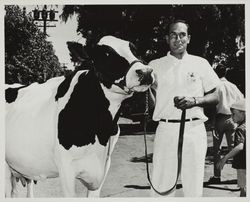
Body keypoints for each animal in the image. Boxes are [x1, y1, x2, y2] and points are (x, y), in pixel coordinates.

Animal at [5, 36, 154, 197]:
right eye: (106, 53)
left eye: (135, 50)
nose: (146, 72)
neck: (101, 131)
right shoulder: (66, 168)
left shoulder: (102, 167)